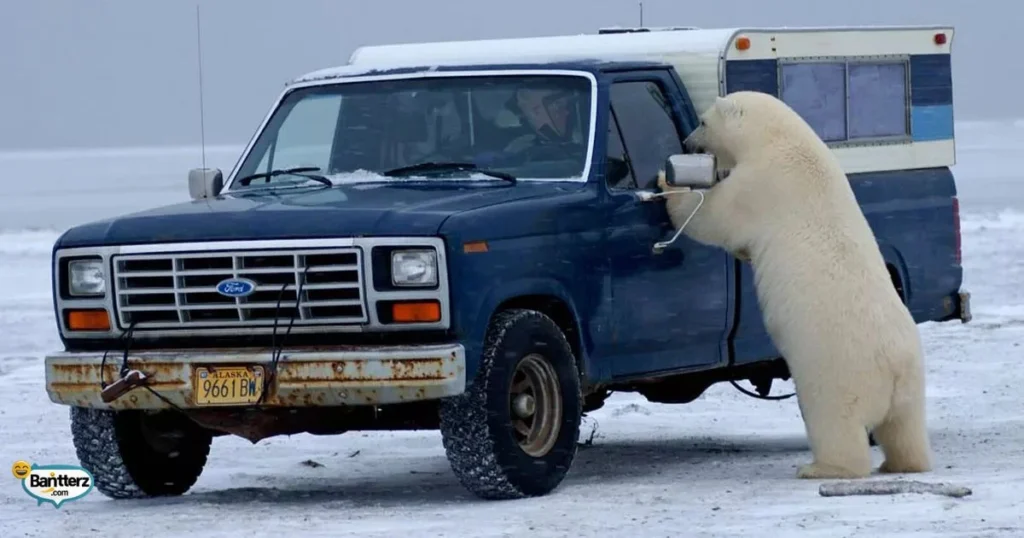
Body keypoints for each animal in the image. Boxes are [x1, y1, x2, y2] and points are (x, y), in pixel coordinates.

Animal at [656, 91, 932, 479]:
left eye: (703, 121)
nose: (687, 143)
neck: (783, 140)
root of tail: (893, 368)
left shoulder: (761, 184)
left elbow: (714, 215)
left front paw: (668, 184)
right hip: (912, 382)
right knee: (905, 427)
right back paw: (901, 463)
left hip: (836, 371)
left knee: (835, 421)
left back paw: (821, 468)